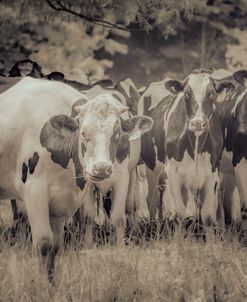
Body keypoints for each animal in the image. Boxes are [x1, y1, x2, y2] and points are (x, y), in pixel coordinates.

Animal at [0, 77, 151, 280]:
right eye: (83, 133)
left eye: (117, 134)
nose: (101, 168)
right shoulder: (35, 193)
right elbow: (44, 243)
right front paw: (42, 284)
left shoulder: (71, 196)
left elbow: (57, 247)